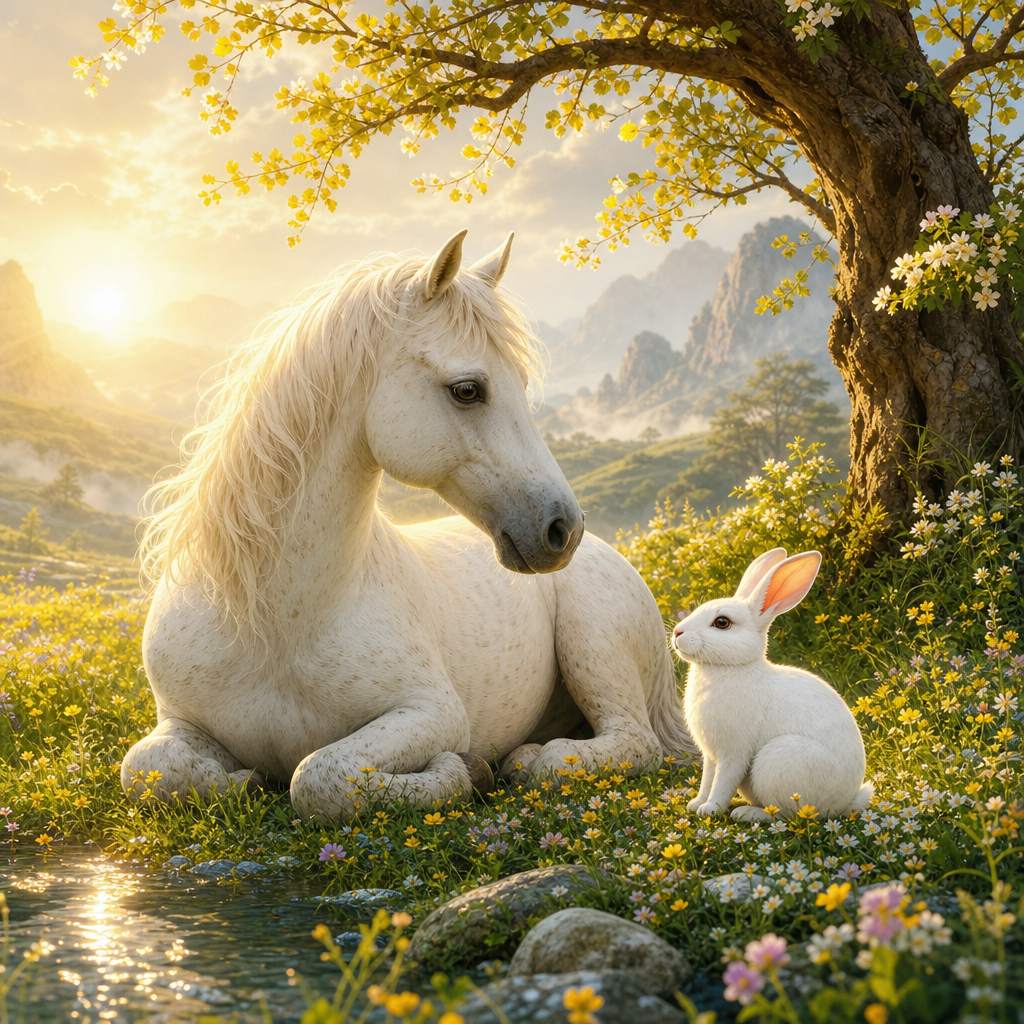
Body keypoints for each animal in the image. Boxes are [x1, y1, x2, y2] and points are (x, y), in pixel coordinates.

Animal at [123, 230, 696, 820]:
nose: (562, 529)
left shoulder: (432, 712)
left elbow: (318, 776)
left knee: (626, 744)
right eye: (467, 389)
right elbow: (147, 768)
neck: (271, 620)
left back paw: (527, 759)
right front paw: (239, 779)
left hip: (593, 643)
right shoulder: (176, 721)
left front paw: (457, 772)